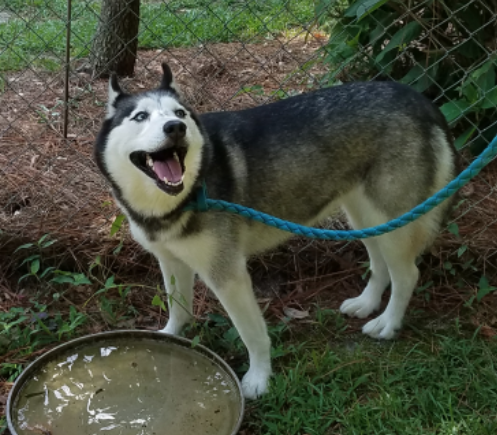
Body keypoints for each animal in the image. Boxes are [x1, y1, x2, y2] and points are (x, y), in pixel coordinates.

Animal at [94, 63, 458, 400]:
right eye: (140, 116)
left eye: (179, 113)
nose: (176, 128)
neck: (180, 196)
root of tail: (417, 97)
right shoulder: (171, 262)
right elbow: (178, 309)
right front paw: (168, 338)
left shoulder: (228, 275)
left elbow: (253, 334)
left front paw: (259, 379)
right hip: (367, 217)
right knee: (381, 264)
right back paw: (367, 303)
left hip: (392, 219)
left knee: (407, 275)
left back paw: (388, 323)